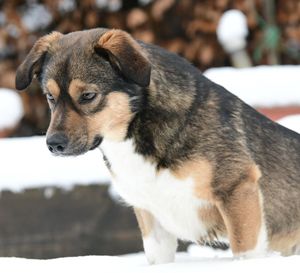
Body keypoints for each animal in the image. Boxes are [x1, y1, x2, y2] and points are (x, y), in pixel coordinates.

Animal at [14, 27, 300, 262]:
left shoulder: (237, 189)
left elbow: (245, 253)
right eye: (50, 97)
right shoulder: (150, 213)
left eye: (88, 96)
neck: (138, 128)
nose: (53, 145)